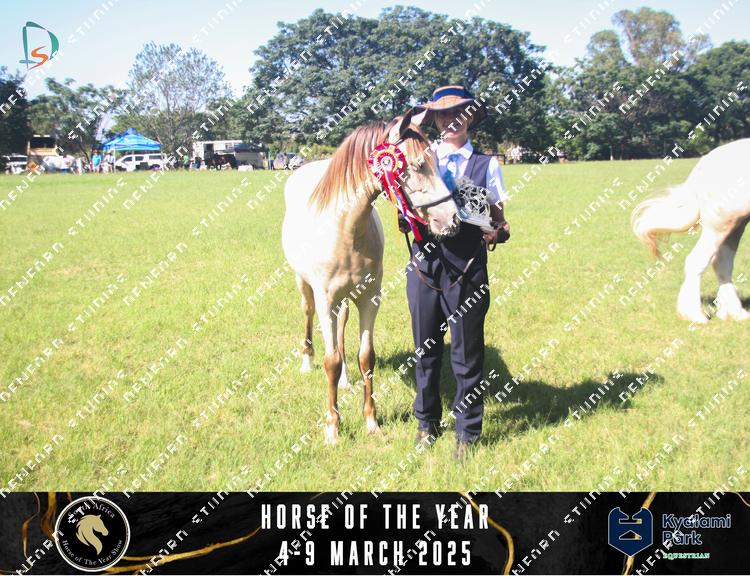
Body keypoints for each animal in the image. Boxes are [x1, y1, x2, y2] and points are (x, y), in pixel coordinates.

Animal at [281, 108, 459, 445]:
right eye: (418, 165)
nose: (452, 219)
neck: (345, 227)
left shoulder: (369, 298)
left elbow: (366, 357)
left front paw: (371, 422)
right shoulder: (325, 300)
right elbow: (330, 361)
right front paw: (333, 428)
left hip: (346, 299)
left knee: (341, 328)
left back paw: (345, 380)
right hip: (304, 286)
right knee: (308, 317)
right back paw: (306, 361)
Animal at [631, 138, 750, 323]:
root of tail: (705, 163)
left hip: (737, 223)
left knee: (722, 262)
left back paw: (735, 313)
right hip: (721, 223)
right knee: (699, 260)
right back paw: (695, 315)